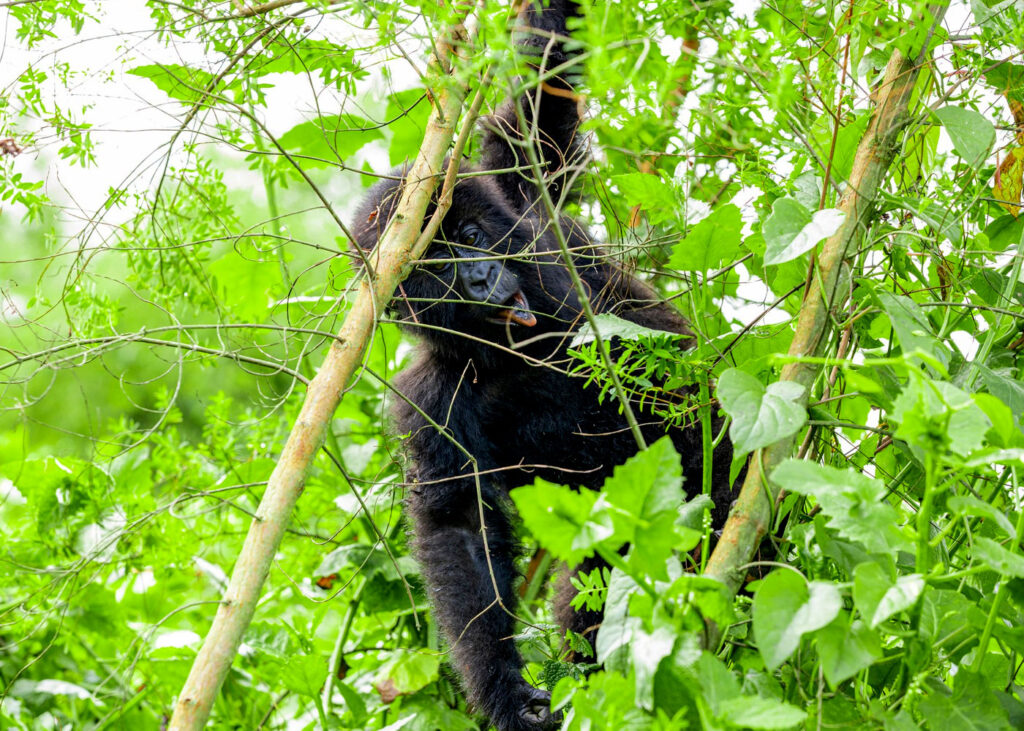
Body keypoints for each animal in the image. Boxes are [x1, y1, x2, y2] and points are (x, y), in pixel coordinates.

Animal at [354, 2, 737, 724]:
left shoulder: (523, 202)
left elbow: (540, 99)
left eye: (470, 236)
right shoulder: (427, 400)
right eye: (437, 268)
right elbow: (459, 523)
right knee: (599, 597)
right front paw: (507, 687)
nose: (479, 278)